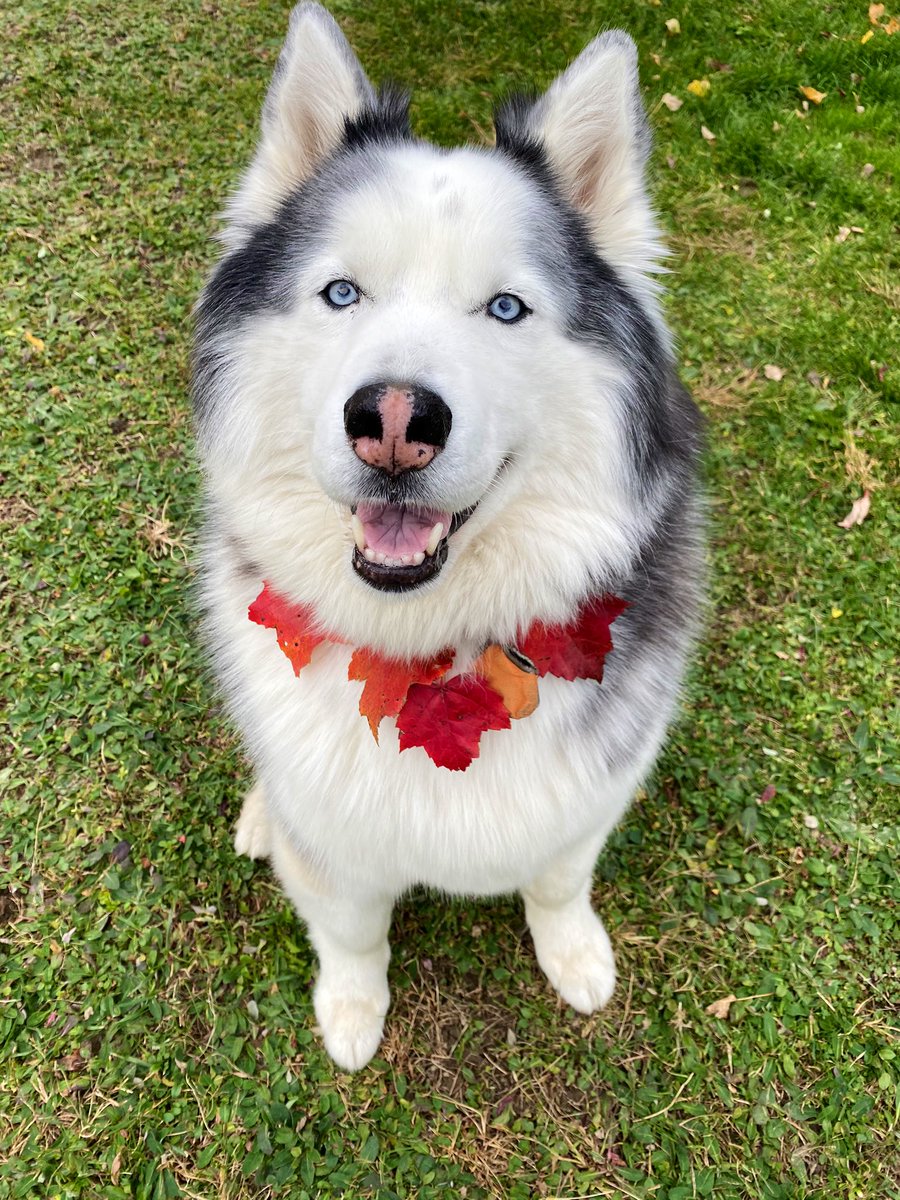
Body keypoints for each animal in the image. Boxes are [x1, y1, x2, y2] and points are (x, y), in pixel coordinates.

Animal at [195, 0, 705, 1070]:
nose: (393, 418)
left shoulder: (588, 800)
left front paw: (575, 955)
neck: (436, 653)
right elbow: (353, 931)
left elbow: (559, 880)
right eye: (342, 293)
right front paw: (352, 1014)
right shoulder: (337, 848)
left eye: (506, 307)